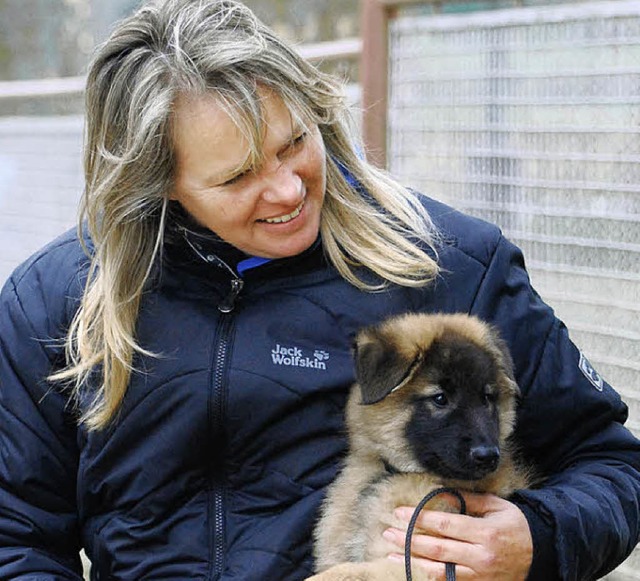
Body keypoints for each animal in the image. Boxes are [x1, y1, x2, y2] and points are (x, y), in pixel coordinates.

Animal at [308, 312, 532, 580]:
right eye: (440, 398)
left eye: (487, 398)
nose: (487, 456)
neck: (392, 473)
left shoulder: (414, 563)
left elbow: (346, 571)